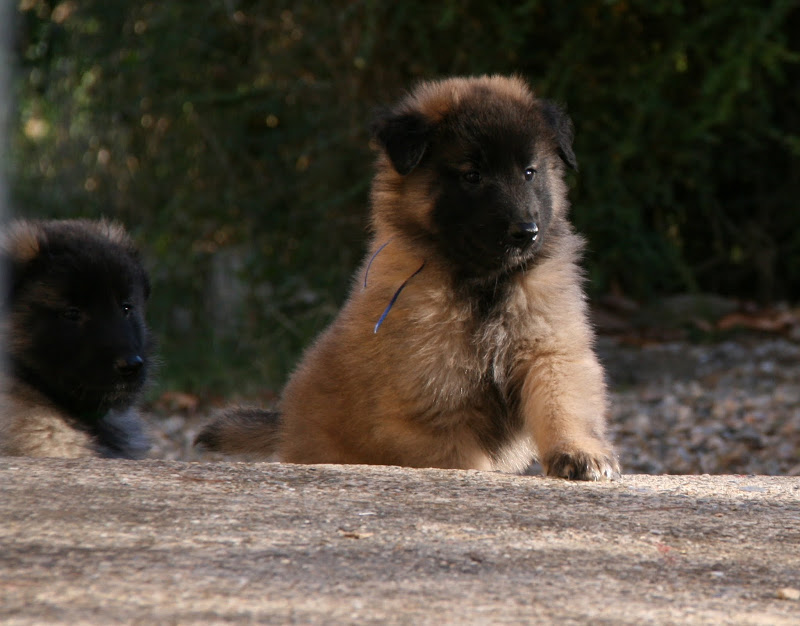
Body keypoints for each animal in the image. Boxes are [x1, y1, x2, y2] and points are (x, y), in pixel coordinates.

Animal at [198, 77, 620, 478]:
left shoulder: (549, 352)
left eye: (530, 172)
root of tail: (285, 421)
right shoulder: (430, 407)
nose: (526, 232)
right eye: (472, 175)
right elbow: (464, 459)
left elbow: (562, 404)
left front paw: (579, 453)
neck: (482, 284)